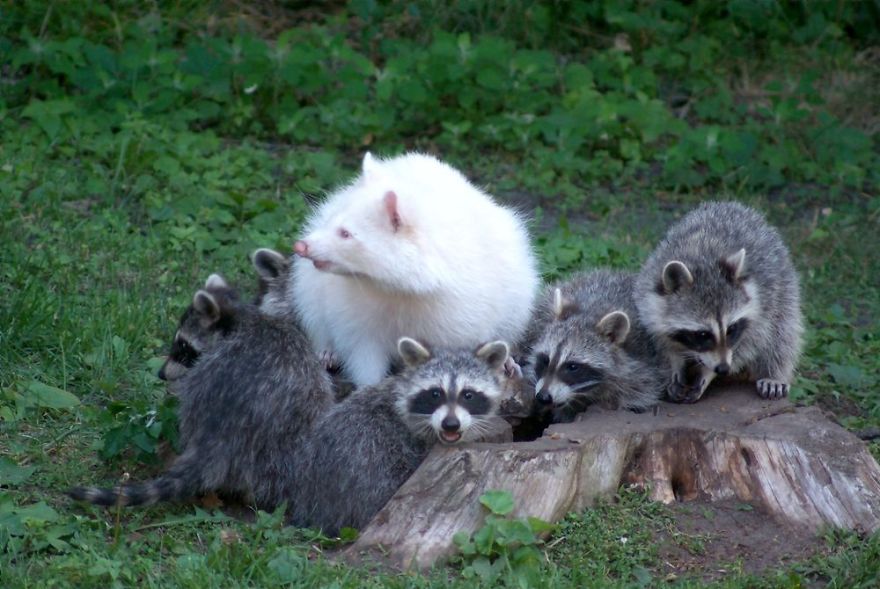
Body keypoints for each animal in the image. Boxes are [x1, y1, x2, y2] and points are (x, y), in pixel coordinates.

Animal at [526, 270, 664, 422]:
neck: (593, 311)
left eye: (572, 366)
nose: (543, 397)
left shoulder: (641, 367)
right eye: (545, 360)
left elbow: (637, 392)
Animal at [634, 201, 803, 403]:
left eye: (731, 329)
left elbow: (748, 345)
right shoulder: (648, 300)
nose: (723, 368)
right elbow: (663, 342)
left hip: (784, 286)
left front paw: (706, 373)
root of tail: (733, 205)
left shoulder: (761, 307)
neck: (700, 260)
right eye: (702, 334)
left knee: (782, 333)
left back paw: (774, 374)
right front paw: (673, 366)